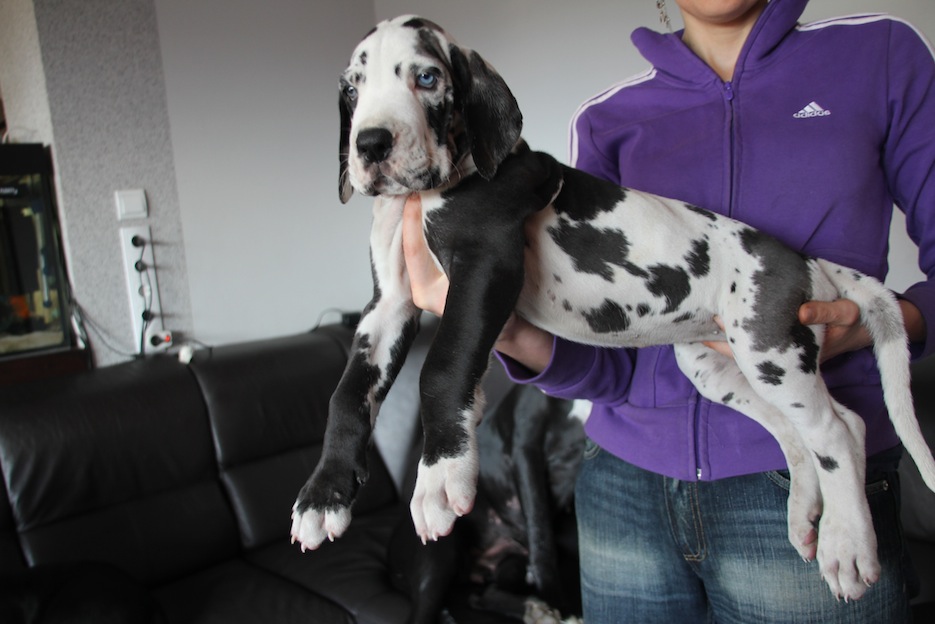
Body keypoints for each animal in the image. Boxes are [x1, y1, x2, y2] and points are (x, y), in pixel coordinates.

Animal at [388, 385, 586, 624]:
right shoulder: (526, 447)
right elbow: (541, 533)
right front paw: (558, 602)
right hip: (440, 554)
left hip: (511, 564)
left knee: (481, 596)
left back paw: (535, 611)